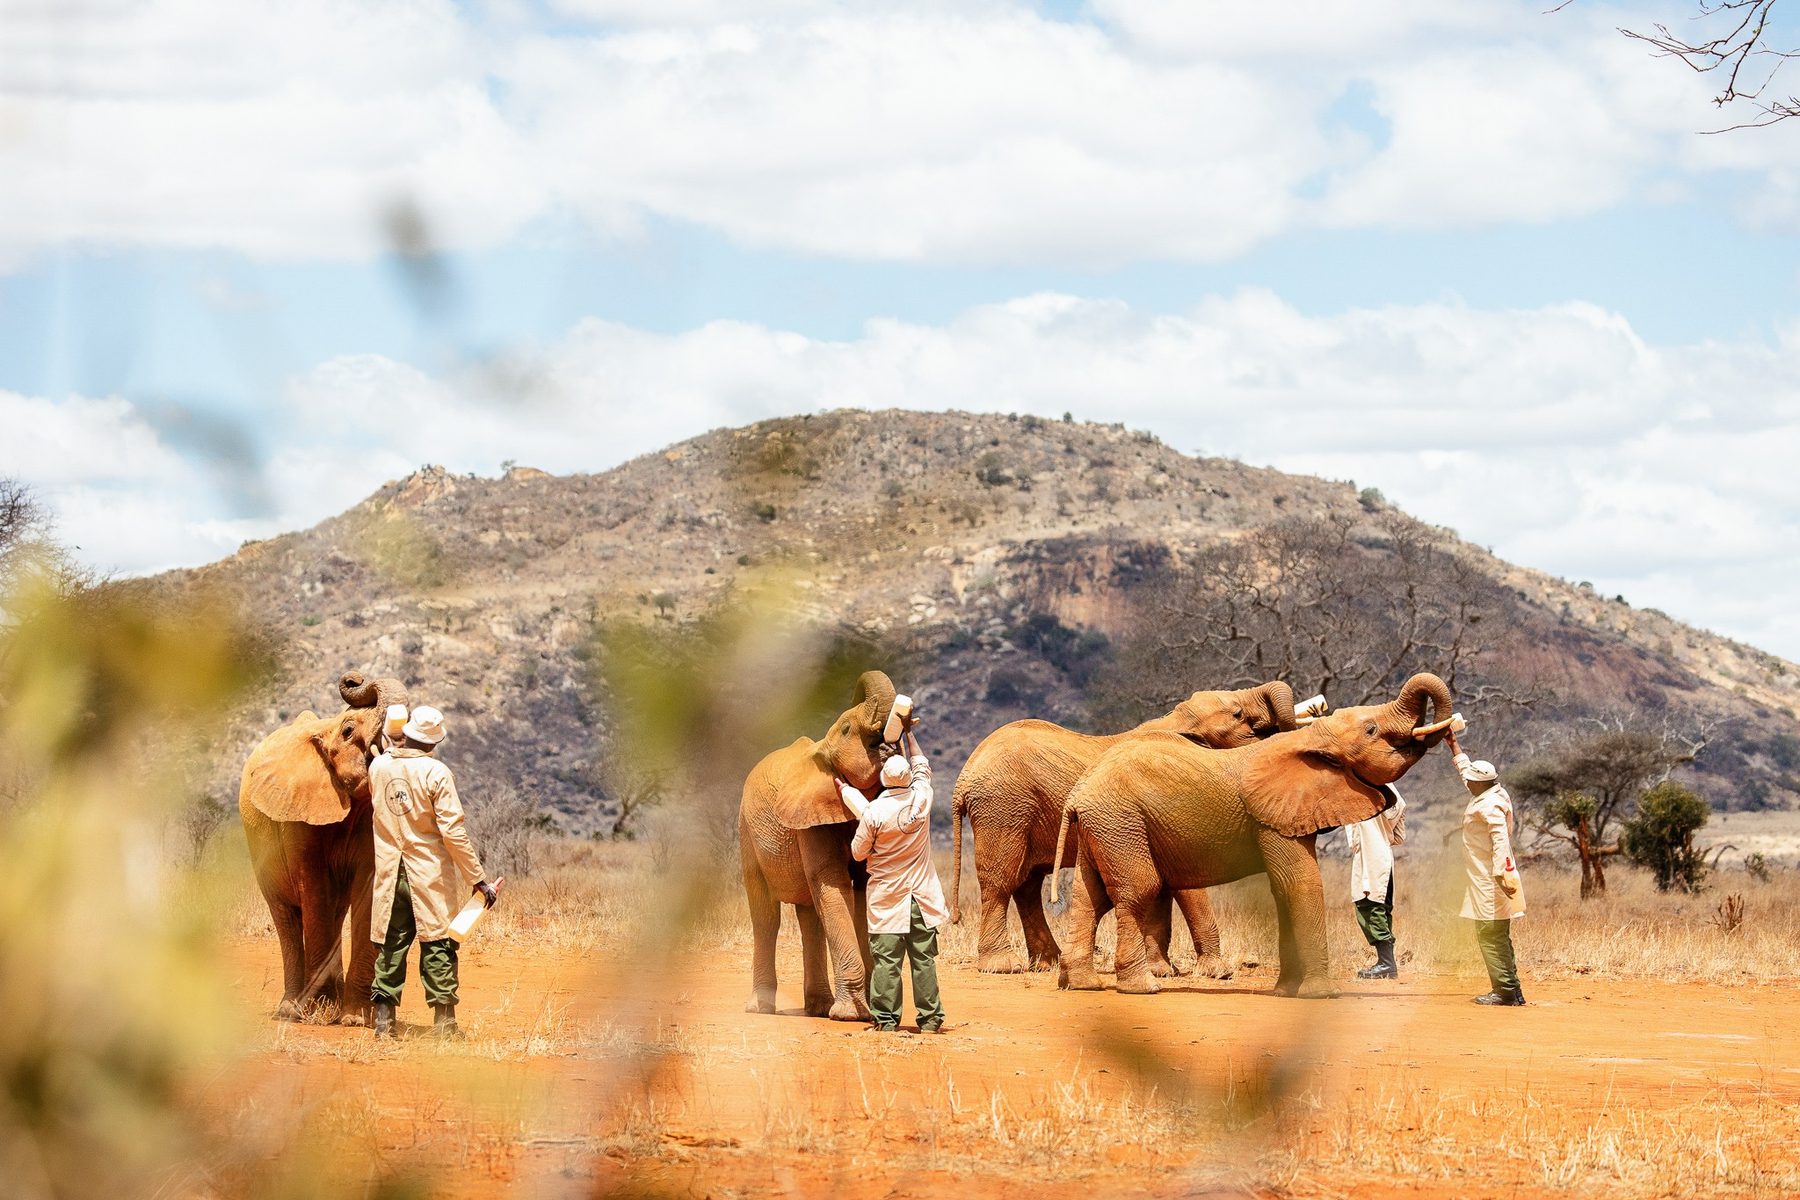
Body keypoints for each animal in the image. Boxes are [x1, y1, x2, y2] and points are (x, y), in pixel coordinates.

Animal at [238, 672, 407, 1023]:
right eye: (348, 731)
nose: (354, 678)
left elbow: (368, 888)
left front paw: (357, 1018)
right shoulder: (297, 816)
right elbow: (314, 891)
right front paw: (322, 1012)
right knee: (288, 919)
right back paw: (292, 1010)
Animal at [738, 670, 900, 1021]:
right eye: (847, 728)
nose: (889, 741)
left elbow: (865, 886)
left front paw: (871, 1012)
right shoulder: (809, 818)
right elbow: (833, 883)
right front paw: (852, 1015)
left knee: (809, 916)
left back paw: (819, 1009)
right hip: (746, 833)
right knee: (766, 918)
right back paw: (761, 1009)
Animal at [949, 681, 1298, 974]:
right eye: (1238, 714)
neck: (1175, 721)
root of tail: (964, 777)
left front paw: (1163, 971)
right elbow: (1186, 883)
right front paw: (1217, 973)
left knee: (1027, 883)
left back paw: (1049, 963)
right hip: (1003, 807)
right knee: (1001, 879)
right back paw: (1002, 966)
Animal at [1053, 673, 1455, 999]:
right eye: (1371, 730)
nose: (1449, 731)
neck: (1310, 742)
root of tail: (1078, 794)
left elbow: (1284, 890)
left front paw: (1285, 993)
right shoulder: (1271, 818)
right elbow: (1301, 883)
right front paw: (1320, 996)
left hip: (1103, 827)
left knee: (1090, 897)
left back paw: (1081, 984)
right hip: (1121, 823)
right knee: (1138, 890)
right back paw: (1141, 988)